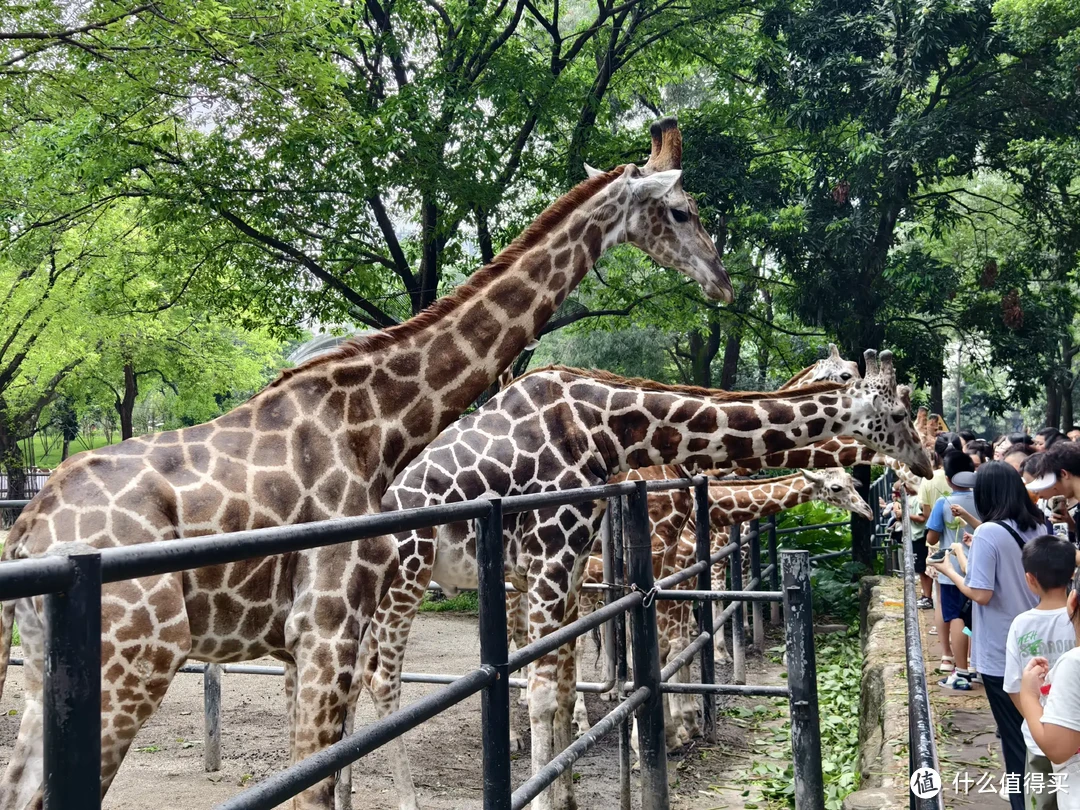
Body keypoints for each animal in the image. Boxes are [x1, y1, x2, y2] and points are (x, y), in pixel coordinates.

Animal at [0, 115, 730, 810]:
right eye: (682, 210)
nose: (721, 281)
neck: (373, 426)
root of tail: (26, 528)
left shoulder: (301, 644)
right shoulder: (324, 627)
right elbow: (313, 785)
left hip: (43, 672)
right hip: (134, 662)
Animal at [360, 354, 928, 810]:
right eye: (900, 412)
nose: (923, 463)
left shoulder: (602, 564)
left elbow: (596, 667)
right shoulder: (608, 552)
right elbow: (640, 650)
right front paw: (667, 734)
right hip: (409, 576)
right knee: (381, 679)